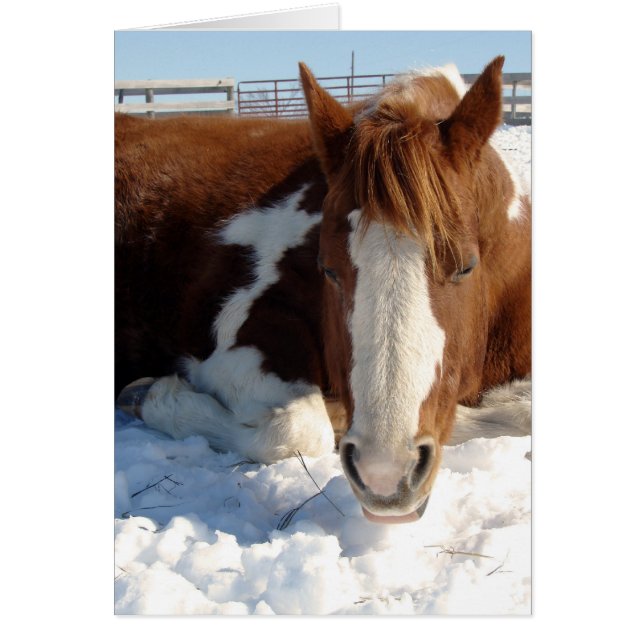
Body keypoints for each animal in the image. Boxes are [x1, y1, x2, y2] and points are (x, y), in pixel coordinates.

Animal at [115, 56, 531, 524]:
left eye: (466, 266)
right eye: (328, 269)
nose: (385, 475)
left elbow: (524, 412)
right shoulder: (230, 335)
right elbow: (298, 428)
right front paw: (154, 396)